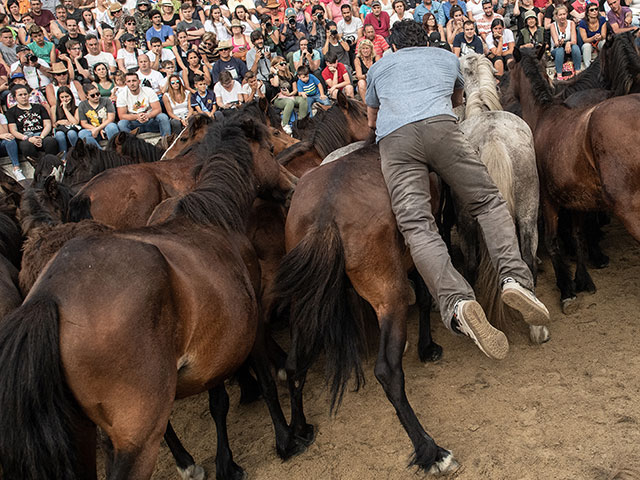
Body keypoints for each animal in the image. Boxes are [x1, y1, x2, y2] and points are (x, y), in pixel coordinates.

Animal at [0, 114, 308, 478]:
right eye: (269, 145)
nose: (293, 184)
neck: (211, 214)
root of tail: (47, 298)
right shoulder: (251, 321)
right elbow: (266, 382)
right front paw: (286, 437)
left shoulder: (212, 341)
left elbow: (218, 400)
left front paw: (228, 460)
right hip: (139, 429)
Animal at [458, 54, 548, 344]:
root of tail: (493, 136)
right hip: (529, 210)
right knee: (527, 257)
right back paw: (537, 324)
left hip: (466, 219)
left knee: (473, 262)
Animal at [510, 47, 640, 312]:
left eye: (510, 69)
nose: (505, 93)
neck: (544, 116)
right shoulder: (577, 200)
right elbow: (578, 238)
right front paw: (582, 279)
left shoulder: (549, 201)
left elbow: (552, 241)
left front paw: (566, 287)